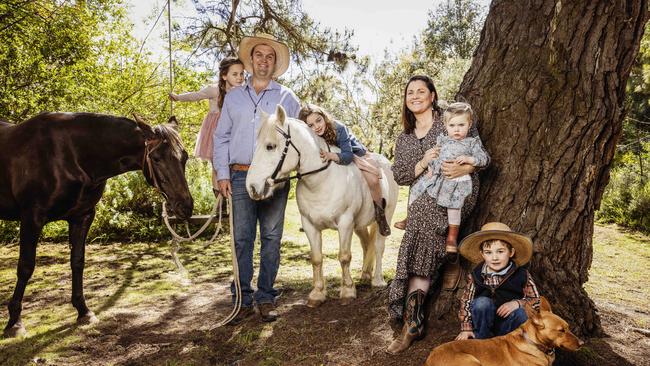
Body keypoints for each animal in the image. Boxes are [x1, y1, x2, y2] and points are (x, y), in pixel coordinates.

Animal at [0, 112, 192, 338]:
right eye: (156, 158)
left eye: (184, 157)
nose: (186, 206)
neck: (69, 154)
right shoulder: (32, 217)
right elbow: (26, 267)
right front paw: (15, 323)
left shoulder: (82, 217)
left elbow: (77, 262)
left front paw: (83, 311)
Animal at [244, 105, 394, 306]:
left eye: (270, 146)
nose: (251, 187)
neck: (321, 180)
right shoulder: (310, 225)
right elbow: (316, 258)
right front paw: (317, 293)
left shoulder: (345, 223)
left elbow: (344, 256)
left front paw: (347, 291)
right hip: (360, 224)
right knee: (365, 244)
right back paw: (365, 274)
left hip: (384, 217)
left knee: (378, 246)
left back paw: (377, 279)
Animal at [422, 298, 580, 366]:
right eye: (561, 331)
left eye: (568, 327)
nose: (582, 343)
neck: (534, 344)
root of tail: (429, 359)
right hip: (472, 362)